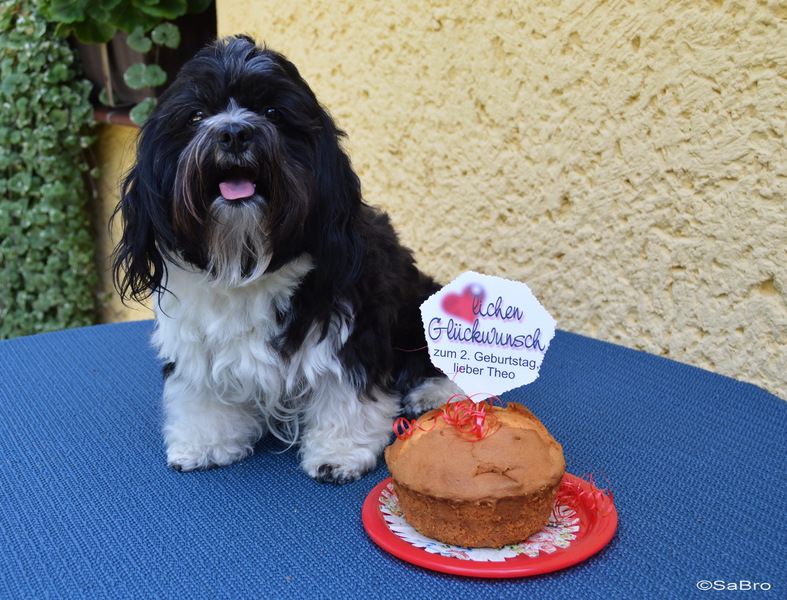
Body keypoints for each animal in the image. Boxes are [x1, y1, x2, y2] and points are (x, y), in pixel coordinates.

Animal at [112, 36, 459, 483]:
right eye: (196, 115)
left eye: (273, 113)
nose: (234, 133)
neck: (245, 261)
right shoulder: (196, 342)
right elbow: (203, 395)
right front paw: (206, 441)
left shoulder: (350, 326)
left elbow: (346, 392)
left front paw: (339, 451)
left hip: (418, 304)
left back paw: (434, 392)